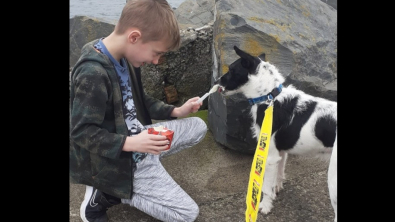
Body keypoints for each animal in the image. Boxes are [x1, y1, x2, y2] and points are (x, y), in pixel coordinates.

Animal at [215, 46, 338, 221]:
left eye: (232, 70)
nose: (216, 82)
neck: (269, 97)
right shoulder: (280, 152)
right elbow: (279, 174)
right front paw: (276, 190)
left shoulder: (270, 156)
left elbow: (266, 187)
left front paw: (265, 206)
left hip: (333, 180)